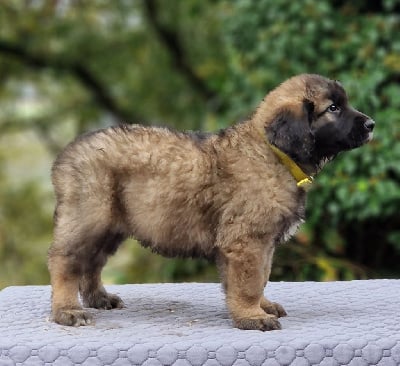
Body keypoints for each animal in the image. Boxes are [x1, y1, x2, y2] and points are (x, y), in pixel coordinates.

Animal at [47, 73, 376, 330]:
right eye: (333, 108)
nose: (371, 124)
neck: (273, 152)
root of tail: (67, 156)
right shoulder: (247, 240)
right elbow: (250, 281)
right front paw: (252, 316)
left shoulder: (261, 243)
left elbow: (261, 277)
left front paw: (260, 306)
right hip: (90, 216)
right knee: (65, 261)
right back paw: (67, 311)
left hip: (110, 225)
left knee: (92, 263)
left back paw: (99, 298)